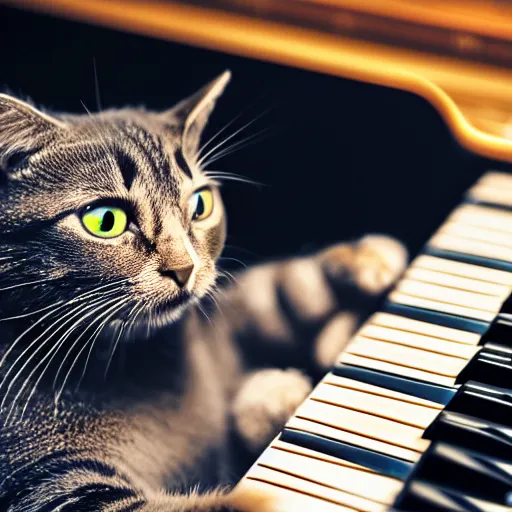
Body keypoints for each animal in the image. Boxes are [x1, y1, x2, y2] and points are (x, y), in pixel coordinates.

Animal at [0, 73, 408, 512]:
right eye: (105, 220)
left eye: (200, 204)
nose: (184, 269)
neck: (133, 359)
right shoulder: (50, 489)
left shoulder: (217, 323)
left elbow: (279, 293)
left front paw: (363, 259)